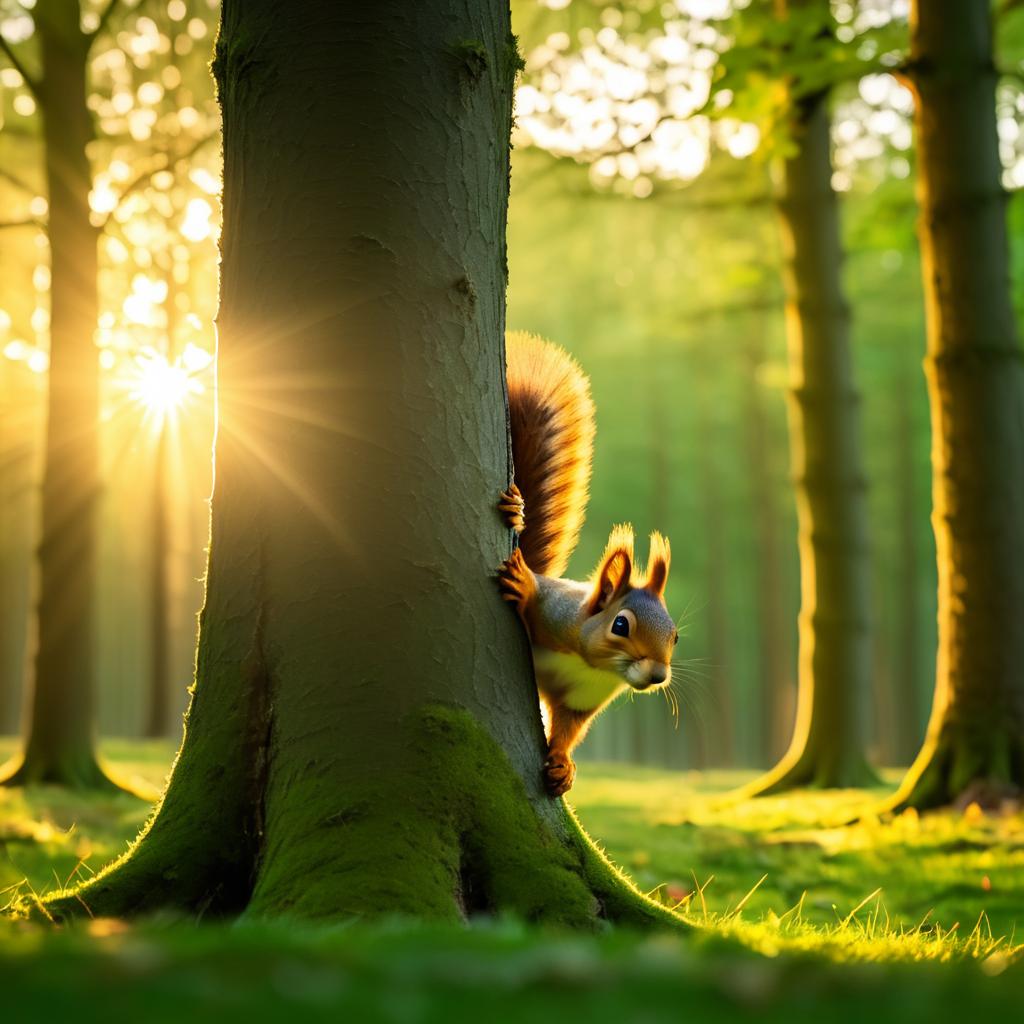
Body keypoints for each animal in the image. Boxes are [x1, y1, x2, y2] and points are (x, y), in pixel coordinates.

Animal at [497, 331, 679, 794]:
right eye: (621, 625)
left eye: (675, 637)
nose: (658, 676)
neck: (590, 663)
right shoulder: (558, 615)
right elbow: (535, 603)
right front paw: (525, 587)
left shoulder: (583, 697)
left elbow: (568, 726)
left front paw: (562, 765)